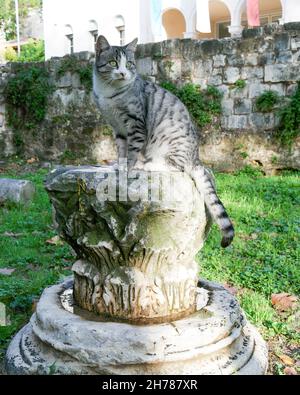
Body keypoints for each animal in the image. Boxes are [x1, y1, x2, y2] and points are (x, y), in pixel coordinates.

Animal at [92, 37, 233, 248]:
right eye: (113, 63)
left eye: (130, 64)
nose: (124, 73)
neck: (109, 94)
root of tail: (196, 157)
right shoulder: (118, 129)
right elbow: (121, 150)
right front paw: (118, 165)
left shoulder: (136, 124)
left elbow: (132, 152)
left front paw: (128, 168)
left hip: (171, 142)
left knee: (176, 167)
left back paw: (147, 165)